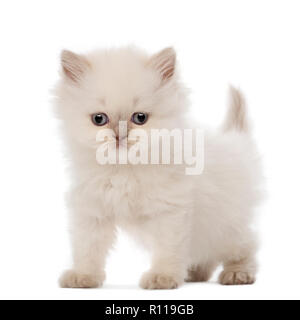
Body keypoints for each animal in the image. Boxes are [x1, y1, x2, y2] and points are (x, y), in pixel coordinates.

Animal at [54, 46, 262, 288]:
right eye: (99, 119)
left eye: (140, 118)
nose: (119, 135)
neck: (125, 169)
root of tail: (236, 142)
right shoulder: (92, 211)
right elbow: (87, 248)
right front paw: (83, 276)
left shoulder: (170, 210)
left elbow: (167, 248)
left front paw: (163, 277)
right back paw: (195, 273)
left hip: (225, 227)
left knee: (246, 244)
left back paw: (238, 273)